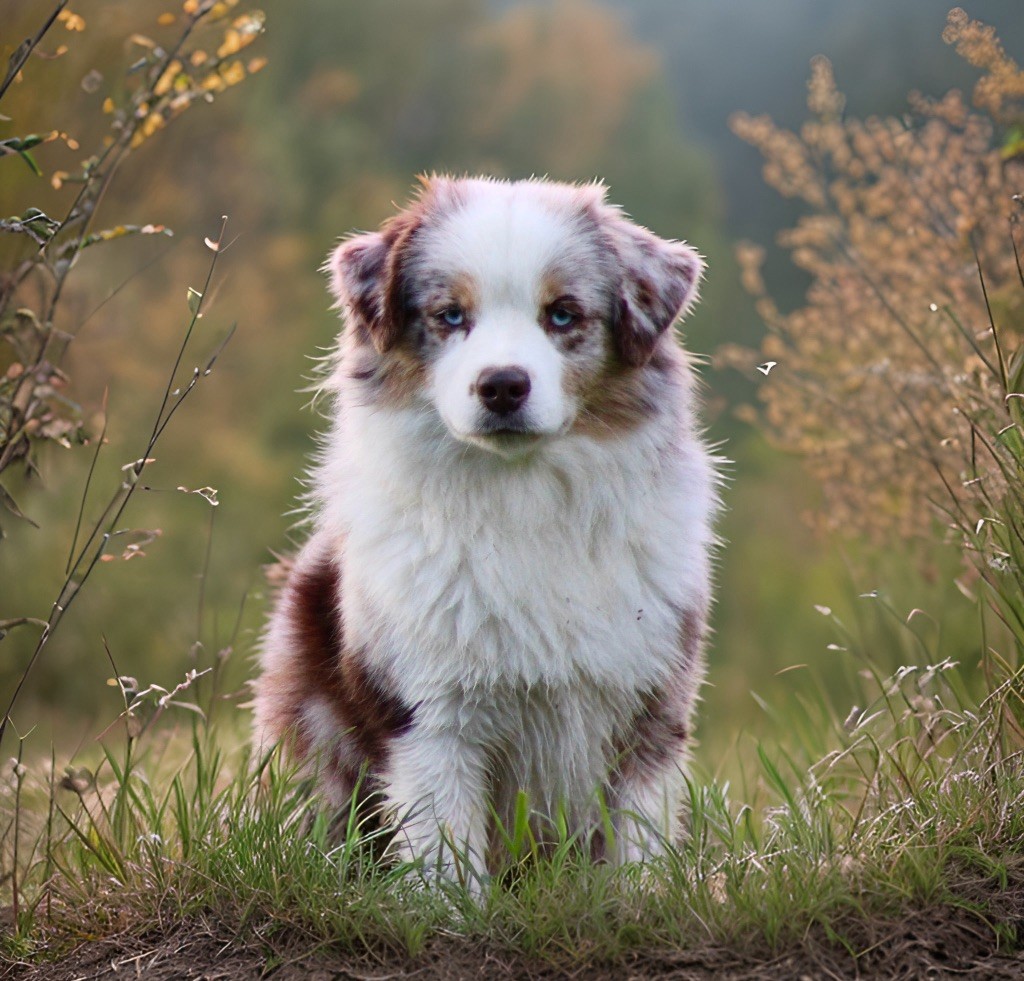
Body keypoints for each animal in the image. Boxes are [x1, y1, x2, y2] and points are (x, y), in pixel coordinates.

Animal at [253, 176, 720, 884]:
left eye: (563, 314)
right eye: (449, 316)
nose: (502, 385)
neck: (520, 499)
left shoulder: (650, 705)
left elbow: (638, 852)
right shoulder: (427, 717)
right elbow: (446, 862)